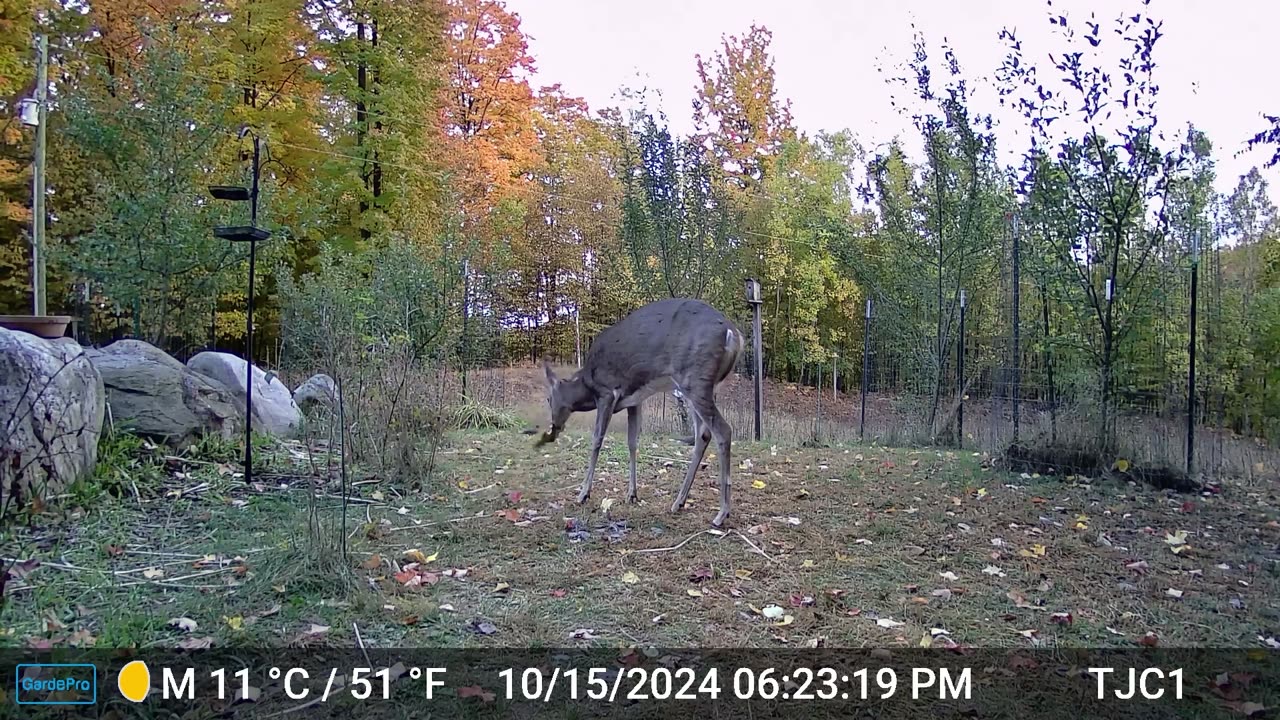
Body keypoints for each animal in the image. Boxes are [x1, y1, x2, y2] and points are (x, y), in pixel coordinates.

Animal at [535, 294, 747, 525]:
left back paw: (721, 513)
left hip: (695, 379)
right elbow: (632, 442)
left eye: (548, 399)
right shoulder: (634, 401)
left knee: (723, 431)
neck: (587, 384)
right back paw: (678, 502)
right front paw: (632, 493)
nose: (554, 427)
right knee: (703, 434)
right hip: (703, 385)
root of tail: (733, 334)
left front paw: (583, 493)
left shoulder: (607, 392)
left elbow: (597, 439)